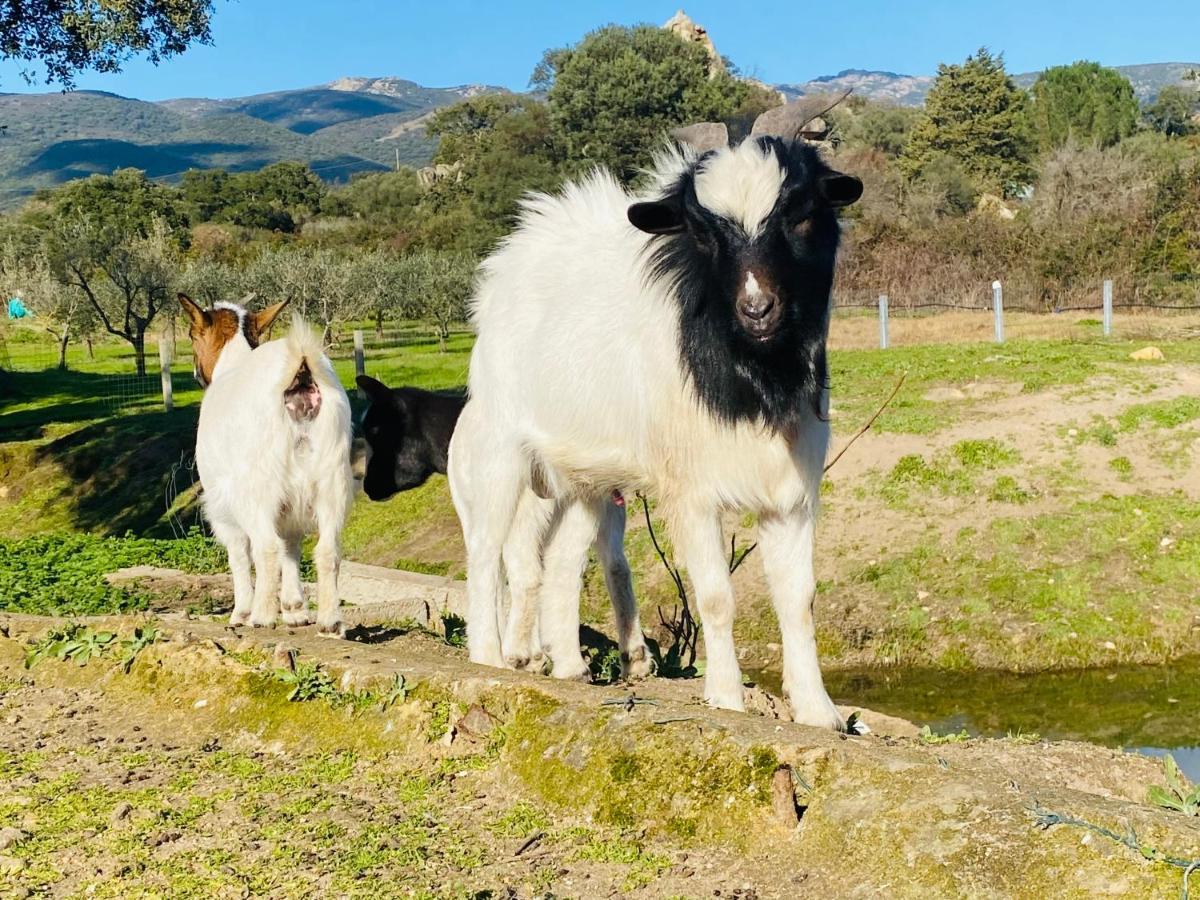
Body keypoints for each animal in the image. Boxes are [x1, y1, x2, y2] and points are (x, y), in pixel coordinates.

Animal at [451, 123, 864, 729]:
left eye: (801, 213)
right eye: (702, 232)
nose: (757, 308)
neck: (747, 381)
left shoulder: (790, 493)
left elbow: (799, 599)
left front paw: (819, 711)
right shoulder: (692, 492)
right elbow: (716, 596)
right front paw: (727, 698)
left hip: (582, 478)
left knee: (564, 561)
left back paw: (569, 667)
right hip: (501, 451)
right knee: (485, 549)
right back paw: (489, 658)